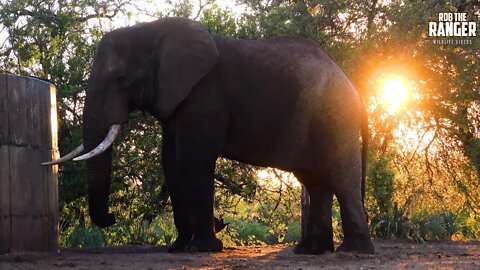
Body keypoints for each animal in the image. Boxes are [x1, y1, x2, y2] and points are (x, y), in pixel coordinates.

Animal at [44, 16, 376, 253]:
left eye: (122, 78)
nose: (111, 218)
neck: (150, 30)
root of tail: (354, 88)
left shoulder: (205, 95)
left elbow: (194, 160)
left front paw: (202, 249)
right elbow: (171, 163)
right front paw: (177, 249)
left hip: (335, 118)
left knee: (340, 176)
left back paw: (354, 251)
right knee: (315, 180)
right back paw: (309, 251)